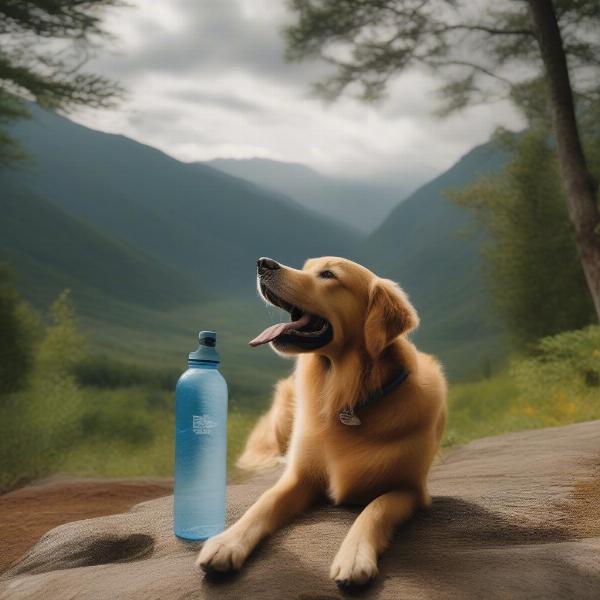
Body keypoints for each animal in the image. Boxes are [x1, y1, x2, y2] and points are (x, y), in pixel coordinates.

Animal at [197, 255, 446, 588]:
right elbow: (264, 502)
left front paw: (354, 556)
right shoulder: (300, 476)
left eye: (328, 274)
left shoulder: (410, 489)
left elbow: (375, 509)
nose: (263, 263)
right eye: (307, 267)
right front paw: (226, 542)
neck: (345, 395)